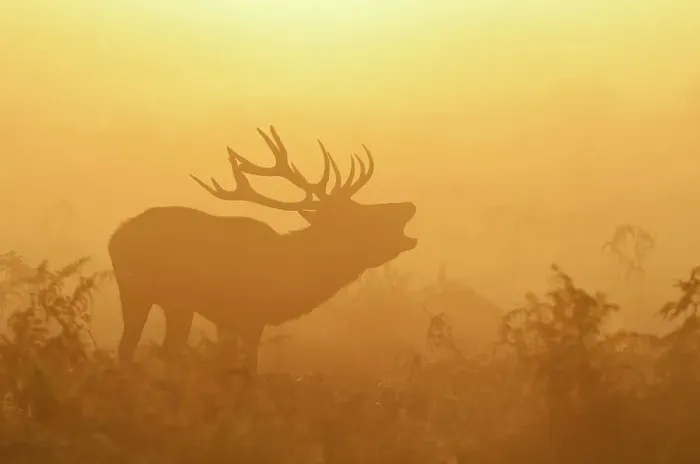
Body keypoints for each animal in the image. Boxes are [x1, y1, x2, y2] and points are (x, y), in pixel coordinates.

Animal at [108, 126, 417, 373]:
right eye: (359, 216)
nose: (409, 205)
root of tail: (114, 238)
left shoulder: (228, 320)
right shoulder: (249, 315)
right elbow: (247, 369)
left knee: (130, 348)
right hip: (164, 297)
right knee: (158, 349)